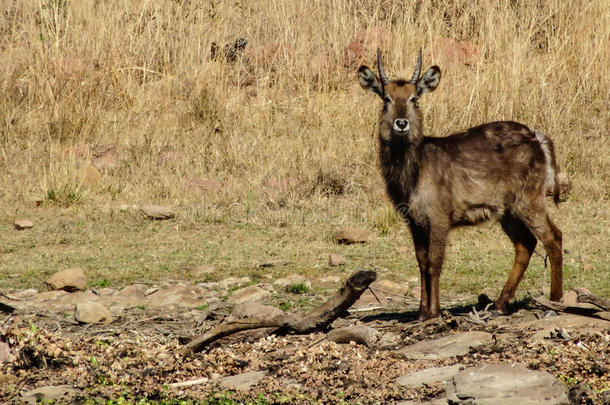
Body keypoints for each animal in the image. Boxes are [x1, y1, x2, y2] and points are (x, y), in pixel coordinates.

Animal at [358, 49, 564, 318]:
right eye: (386, 98)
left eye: (414, 98)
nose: (401, 123)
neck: (412, 176)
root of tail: (539, 138)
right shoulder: (414, 220)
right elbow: (421, 262)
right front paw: (421, 313)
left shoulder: (439, 215)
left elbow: (434, 263)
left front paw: (434, 312)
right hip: (507, 210)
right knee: (526, 244)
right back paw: (499, 305)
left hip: (529, 199)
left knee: (553, 237)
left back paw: (554, 303)